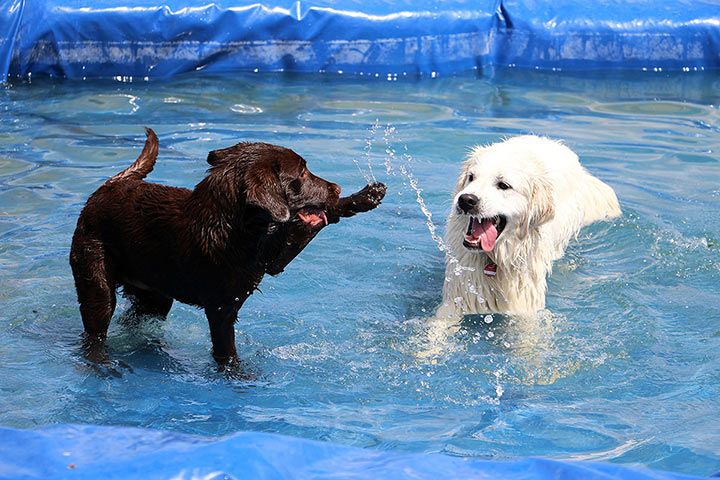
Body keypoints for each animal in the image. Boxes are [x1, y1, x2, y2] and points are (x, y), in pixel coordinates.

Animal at [71, 129, 388, 370]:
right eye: (301, 173)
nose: (336, 187)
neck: (237, 227)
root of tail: (107, 187)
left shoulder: (271, 259)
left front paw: (363, 197)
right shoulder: (221, 310)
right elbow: (226, 352)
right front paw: (236, 374)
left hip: (155, 295)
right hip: (96, 282)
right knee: (96, 330)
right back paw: (102, 363)